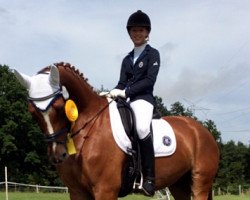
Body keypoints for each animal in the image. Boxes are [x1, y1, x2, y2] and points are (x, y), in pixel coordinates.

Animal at [14, 63, 220, 200]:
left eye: (58, 107)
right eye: (32, 112)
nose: (58, 155)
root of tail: (202, 130)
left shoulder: (105, 190)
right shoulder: (77, 192)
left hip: (200, 182)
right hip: (179, 183)